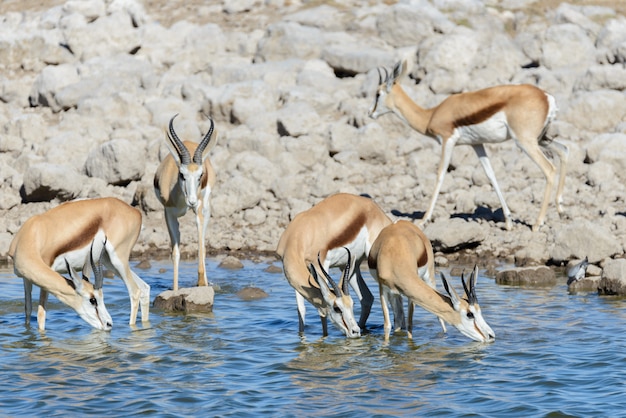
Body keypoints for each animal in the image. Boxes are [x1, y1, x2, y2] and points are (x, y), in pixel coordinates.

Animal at [7, 197, 151, 330]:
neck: (32, 236)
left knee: (135, 291)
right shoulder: (26, 278)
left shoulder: (47, 273)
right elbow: (28, 310)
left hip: (118, 259)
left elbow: (41, 315)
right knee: (144, 287)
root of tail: (135, 212)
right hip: (109, 261)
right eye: (93, 300)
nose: (109, 324)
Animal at [154, 113, 217, 290]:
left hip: (206, 207)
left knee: (203, 245)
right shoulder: (168, 214)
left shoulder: (199, 209)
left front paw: (201, 283)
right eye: (182, 174)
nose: (192, 201)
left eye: (201, 175)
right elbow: (175, 253)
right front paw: (175, 290)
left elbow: (200, 246)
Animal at [276, 194, 400, 338]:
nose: (354, 331)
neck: (300, 235)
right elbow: (301, 310)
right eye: (337, 308)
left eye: (351, 305)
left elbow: (322, 312)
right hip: (351, 267)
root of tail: (379, 211)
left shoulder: (321, 265)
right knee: (367, 298)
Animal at [368, 57, 568, 230]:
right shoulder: (477, 144)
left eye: (378, 93)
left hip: (525, 142)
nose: (370, 113)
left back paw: (537, 223)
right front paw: (509, 221)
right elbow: (491, 176)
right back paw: (560, 209)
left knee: (549, 169)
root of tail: (546, 97)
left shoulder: (447, 140)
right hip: (541, 139)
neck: (431, 115)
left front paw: (423, 220)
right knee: (564, 150)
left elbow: (440, 175)